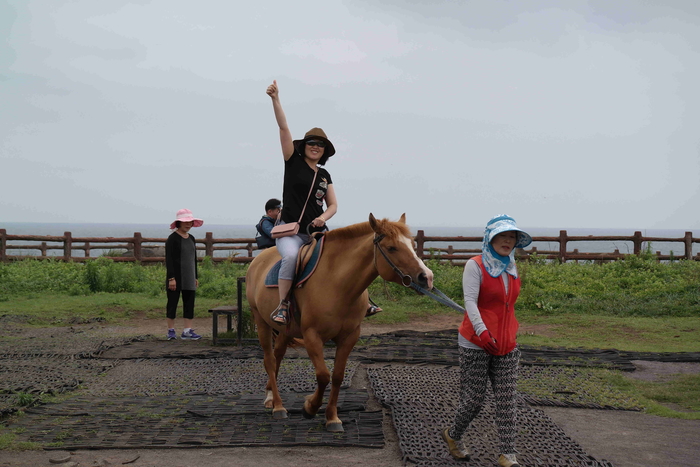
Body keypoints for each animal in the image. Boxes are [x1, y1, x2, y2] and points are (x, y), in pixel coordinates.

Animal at [246, 214, 432, 434]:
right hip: (262, 322)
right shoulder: (312, 336)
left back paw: (270, 397)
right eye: (392, 248)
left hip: (285, 330)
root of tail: (258, 260)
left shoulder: (349, 337)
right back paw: (278, 406)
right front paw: (310, 407)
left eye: (412, 244)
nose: (427, 277)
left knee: (278, 356)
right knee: (269, 360)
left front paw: (332, 417)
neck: (337, 282)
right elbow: (323, 375)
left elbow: (337, 376)